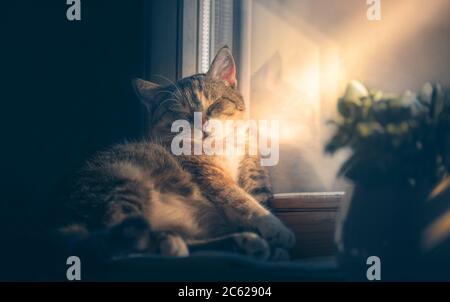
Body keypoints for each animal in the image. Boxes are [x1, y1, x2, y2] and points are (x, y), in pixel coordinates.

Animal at [59, 46, 296, 260]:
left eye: (214, 105)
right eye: (181, 113)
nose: (202, 125)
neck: (220, 147)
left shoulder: (252, 170)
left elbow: (258, 197)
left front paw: (276, 245)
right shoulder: (210, 176)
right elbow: (241, 200)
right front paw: (276, 228)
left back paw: (244, 243)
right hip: (123, 182)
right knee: (124, 242)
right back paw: (169, 242)